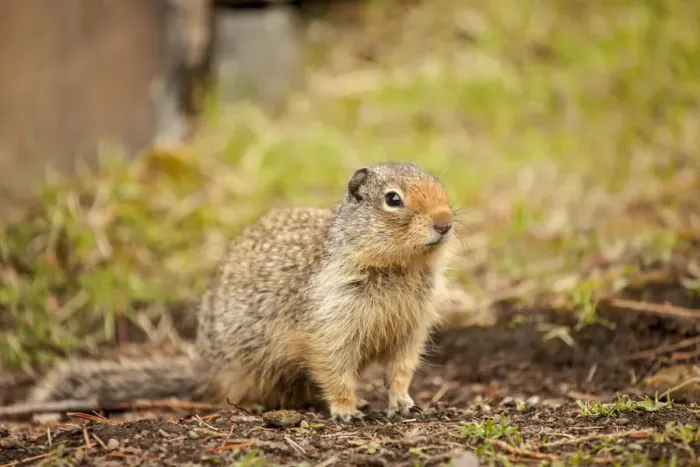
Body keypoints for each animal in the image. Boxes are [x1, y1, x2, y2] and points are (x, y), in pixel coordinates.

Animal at [25, 162, 458, 422]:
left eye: (440, 185)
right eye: (393, 199)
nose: (446, 222)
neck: (399, 268)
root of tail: (204, 367)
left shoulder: (412, 327)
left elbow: (401, 368)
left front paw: (403, 402)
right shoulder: (329, 321)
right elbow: (333, 368)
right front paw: (346, 410)